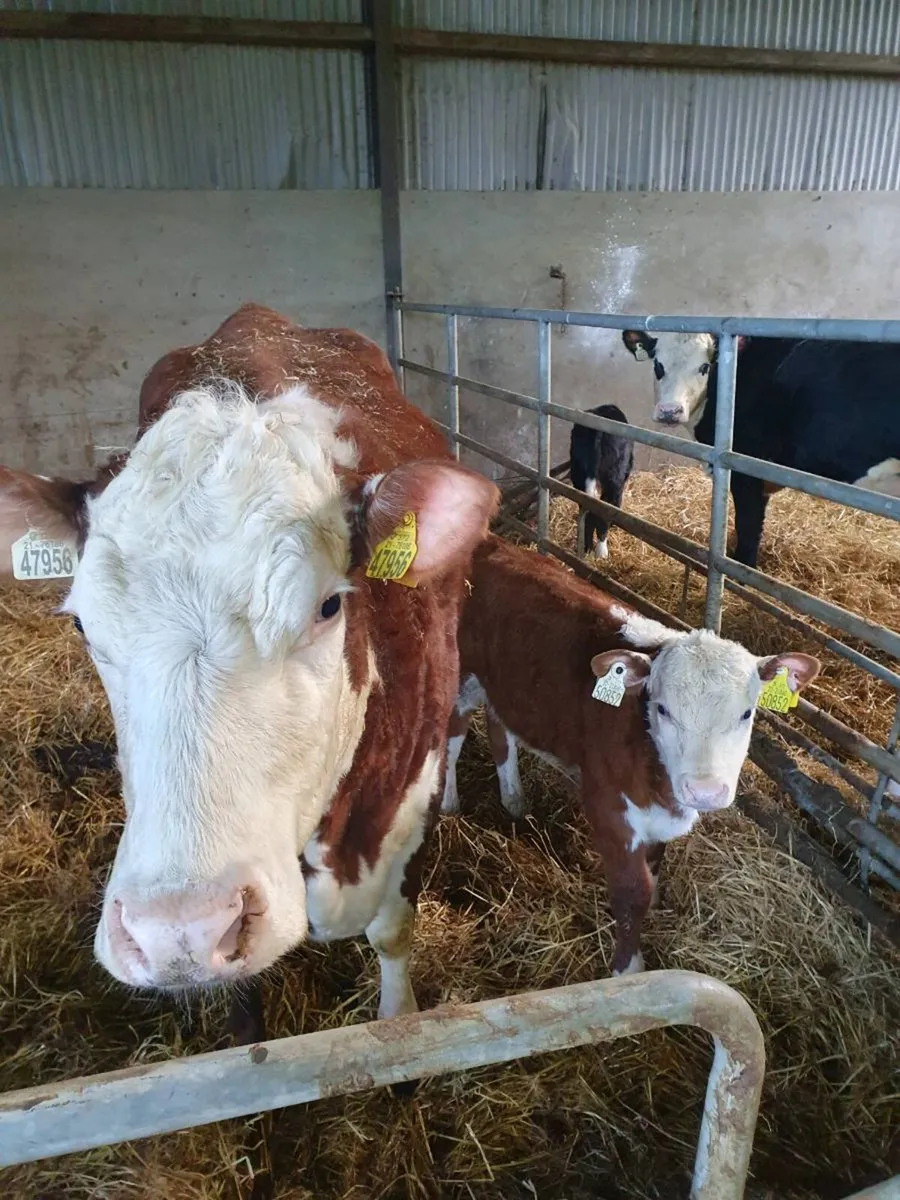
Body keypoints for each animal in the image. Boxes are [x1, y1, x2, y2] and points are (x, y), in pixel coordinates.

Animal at [0, 304, 498, 1024]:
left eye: (327, 606)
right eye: (82, 624)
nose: (179, 930)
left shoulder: (413, 794)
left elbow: (392, 932)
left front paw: (397, 1019)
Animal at [441, 535, 819, 975]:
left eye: (746, 713)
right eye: (662, 709)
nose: (705, 792)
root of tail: (491, 541)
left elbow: (653, 869)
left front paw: (653, 906)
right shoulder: (608, 809)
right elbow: (630, 893)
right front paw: (628, 968)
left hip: (504, 685)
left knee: (500, 728)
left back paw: (514, 799)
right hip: (460, 676)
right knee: (451, 737)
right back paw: (448, 803)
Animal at [569, 403, 634, 560]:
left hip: (578, 474)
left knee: (586, 511)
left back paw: (586, 548)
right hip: (614, 479)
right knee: (603, 511)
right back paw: (602, 552)